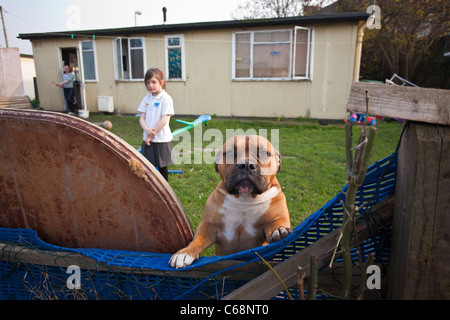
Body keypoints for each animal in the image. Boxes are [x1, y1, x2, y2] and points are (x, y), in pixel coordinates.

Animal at [170, 134, 292, 268]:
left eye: (264, 153)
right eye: (230, 153)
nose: (246, 165)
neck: (244, 199)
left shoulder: (276, 219)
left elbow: (277, 223)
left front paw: (279, 231)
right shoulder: (208, 227)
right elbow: (198, 239)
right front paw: (185, 253)